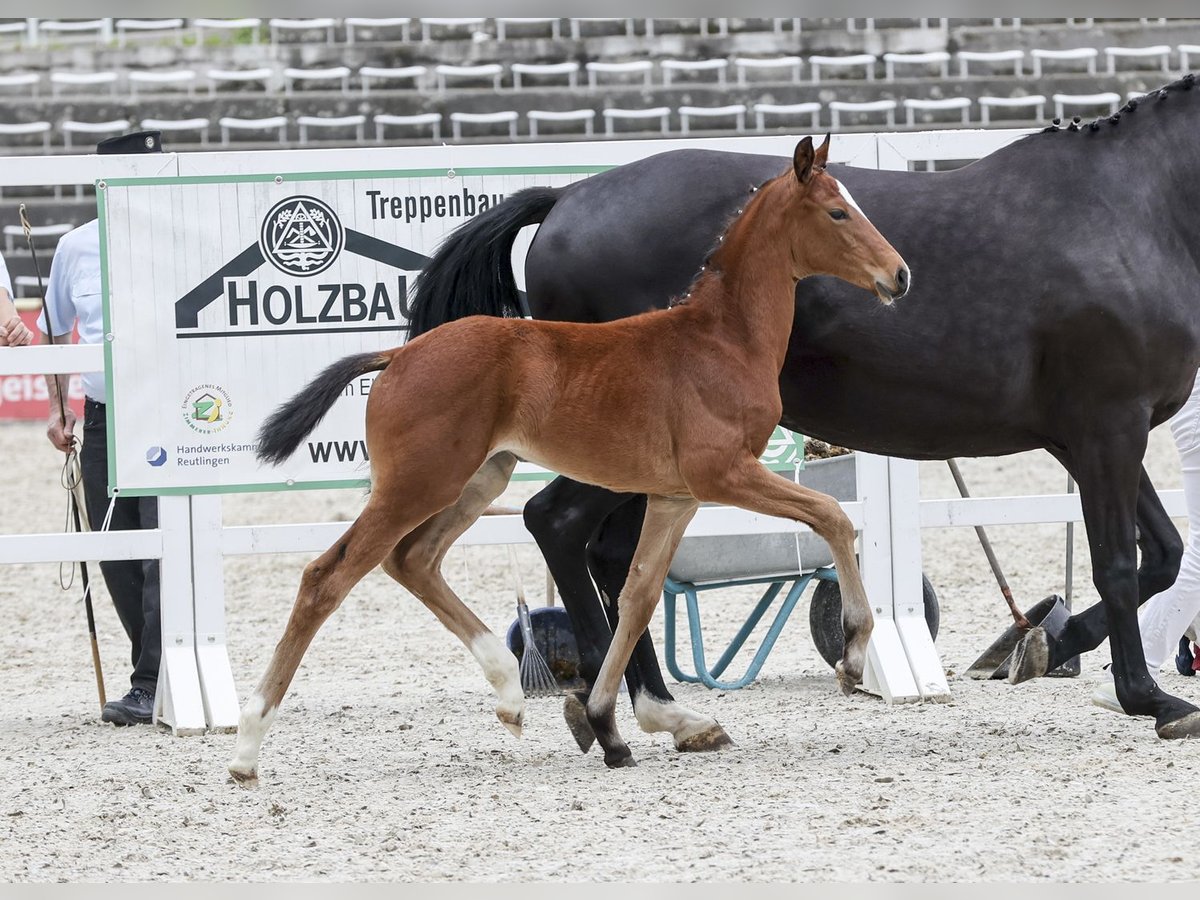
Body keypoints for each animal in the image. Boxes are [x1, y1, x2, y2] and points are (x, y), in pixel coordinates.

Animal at [229, 132, 907, 782]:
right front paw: (853, 653)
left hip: (477, 479)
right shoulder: (724, 474)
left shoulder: (674, 496)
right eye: (838, 212)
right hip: (418, 484)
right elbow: (832, 515)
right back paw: (247, 747)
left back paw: (509, 691)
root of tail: (397, 356)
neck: (721, 339)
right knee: (328, 576)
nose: (899, 274)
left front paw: (612, 725)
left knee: (413, 559)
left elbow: (637, 597)